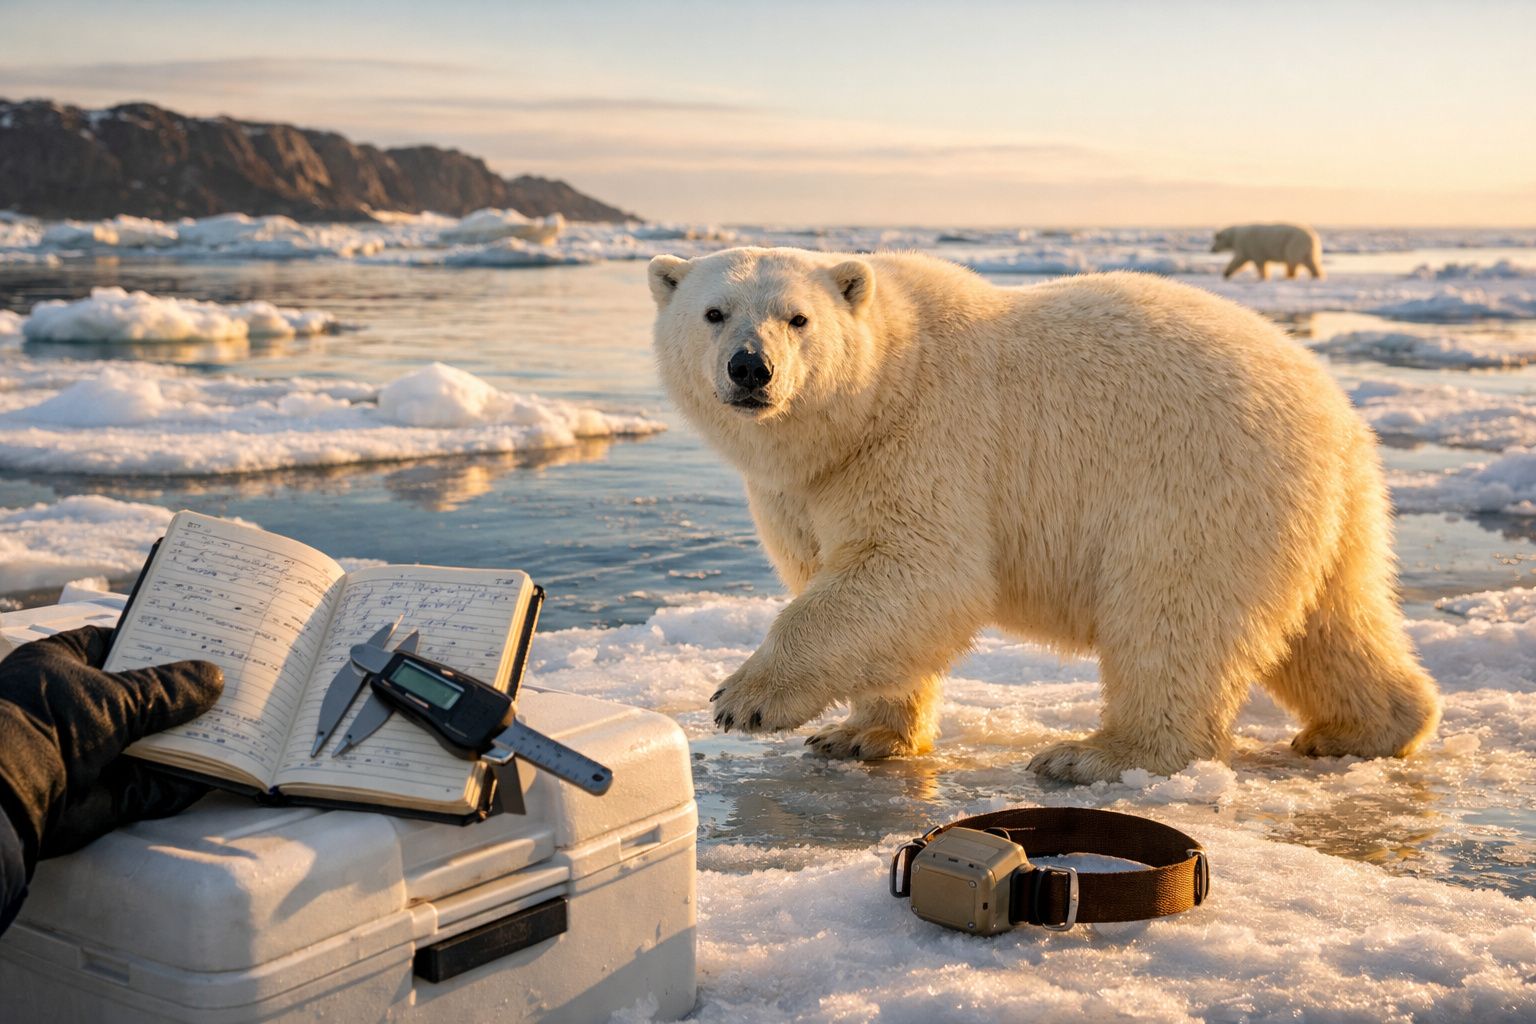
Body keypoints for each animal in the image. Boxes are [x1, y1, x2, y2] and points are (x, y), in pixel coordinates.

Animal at [647, 247, 1439, 783]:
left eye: (798, 318)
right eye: (714, 313)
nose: (750, 368)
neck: (879, 391)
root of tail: (1338, 416)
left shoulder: (927, 441)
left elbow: (915, 572)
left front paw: (745, 699)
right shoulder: (806, 488)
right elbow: (851, 581)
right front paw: (860, 735)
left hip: (1198, 482)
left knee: (1174, 617)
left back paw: (1095, 755)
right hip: (1322, 512)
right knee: (1333, 618)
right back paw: (1363, 727)